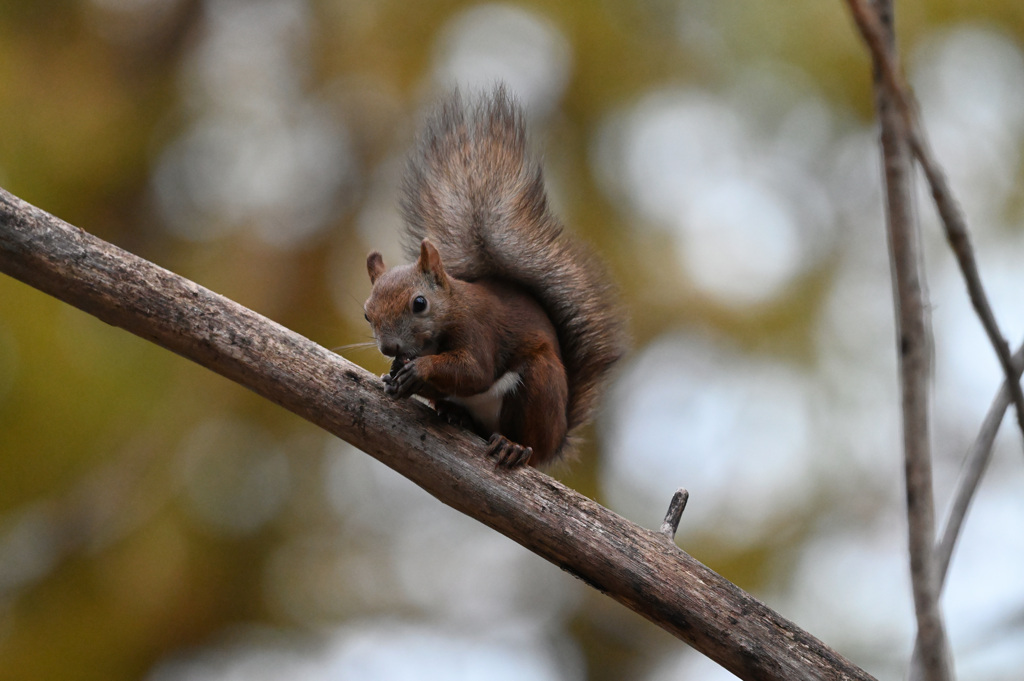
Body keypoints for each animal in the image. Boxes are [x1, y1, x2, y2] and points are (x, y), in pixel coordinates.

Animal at [364, 86, 626, 466]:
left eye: (419, 303)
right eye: (367, 314)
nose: (389, 348)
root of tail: (559, 436)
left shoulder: (478, 329)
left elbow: (475, 371)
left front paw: (420, 369)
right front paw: (396, 375)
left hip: (539, 384)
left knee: (529, 443)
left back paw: (514, 446)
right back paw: (455, 413)